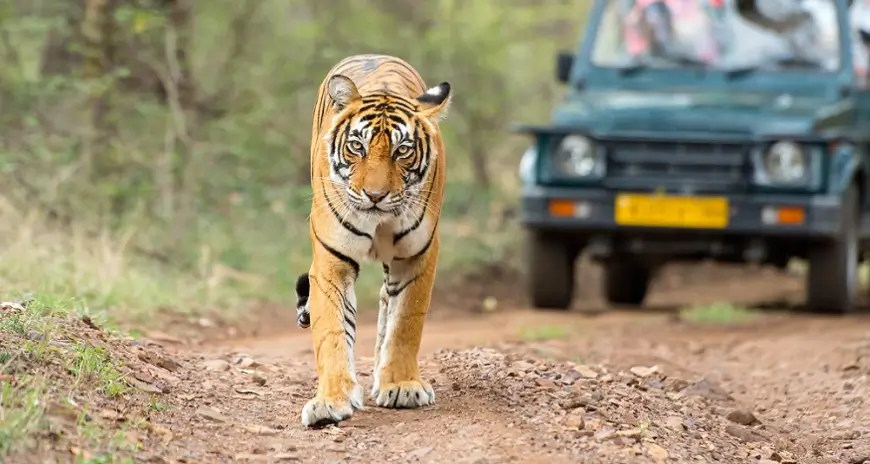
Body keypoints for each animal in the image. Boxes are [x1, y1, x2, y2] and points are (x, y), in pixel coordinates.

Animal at [294, 54, 451, 428]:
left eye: (402, 151)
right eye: (357, 147)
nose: (375, 196)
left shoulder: (418, 256)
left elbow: (406, 321)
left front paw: (402, 385)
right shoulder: (331, 260)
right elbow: (332, 331)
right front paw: (330, 401)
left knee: (386, 303)